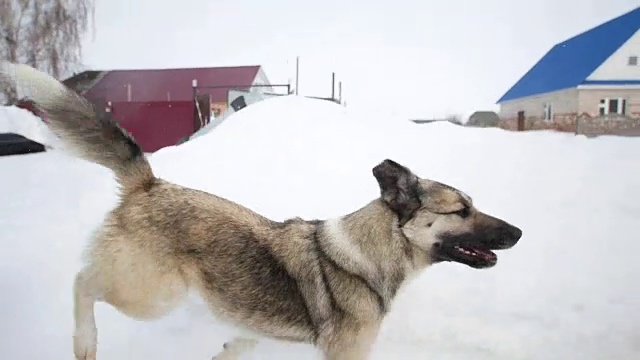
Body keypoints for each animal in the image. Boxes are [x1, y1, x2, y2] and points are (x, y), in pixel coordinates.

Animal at [0, 62, 524, 360]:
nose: (519, 233)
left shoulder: (249, 337)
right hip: (152, 295)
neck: (369, 257)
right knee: (82, 283)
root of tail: (149, 182)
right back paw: (84, 342)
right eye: (462, 210)